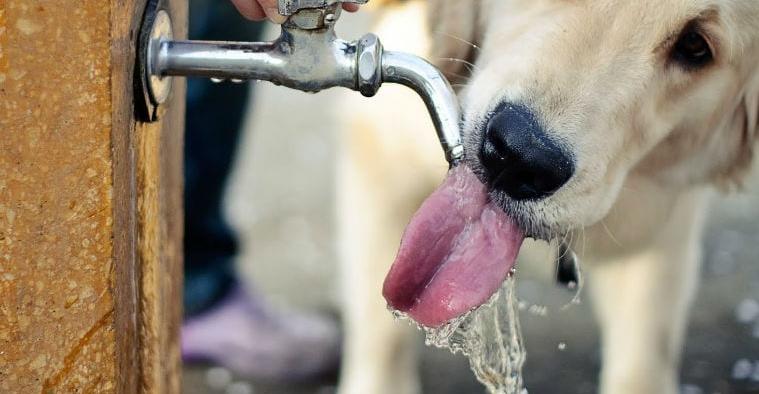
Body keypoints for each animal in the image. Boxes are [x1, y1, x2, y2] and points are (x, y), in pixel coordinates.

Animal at [336, 0, 759, 394]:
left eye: (695, 45)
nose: (519, 158)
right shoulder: (384, 156)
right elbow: (382, 335)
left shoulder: (658, 233)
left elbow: (642, 361)